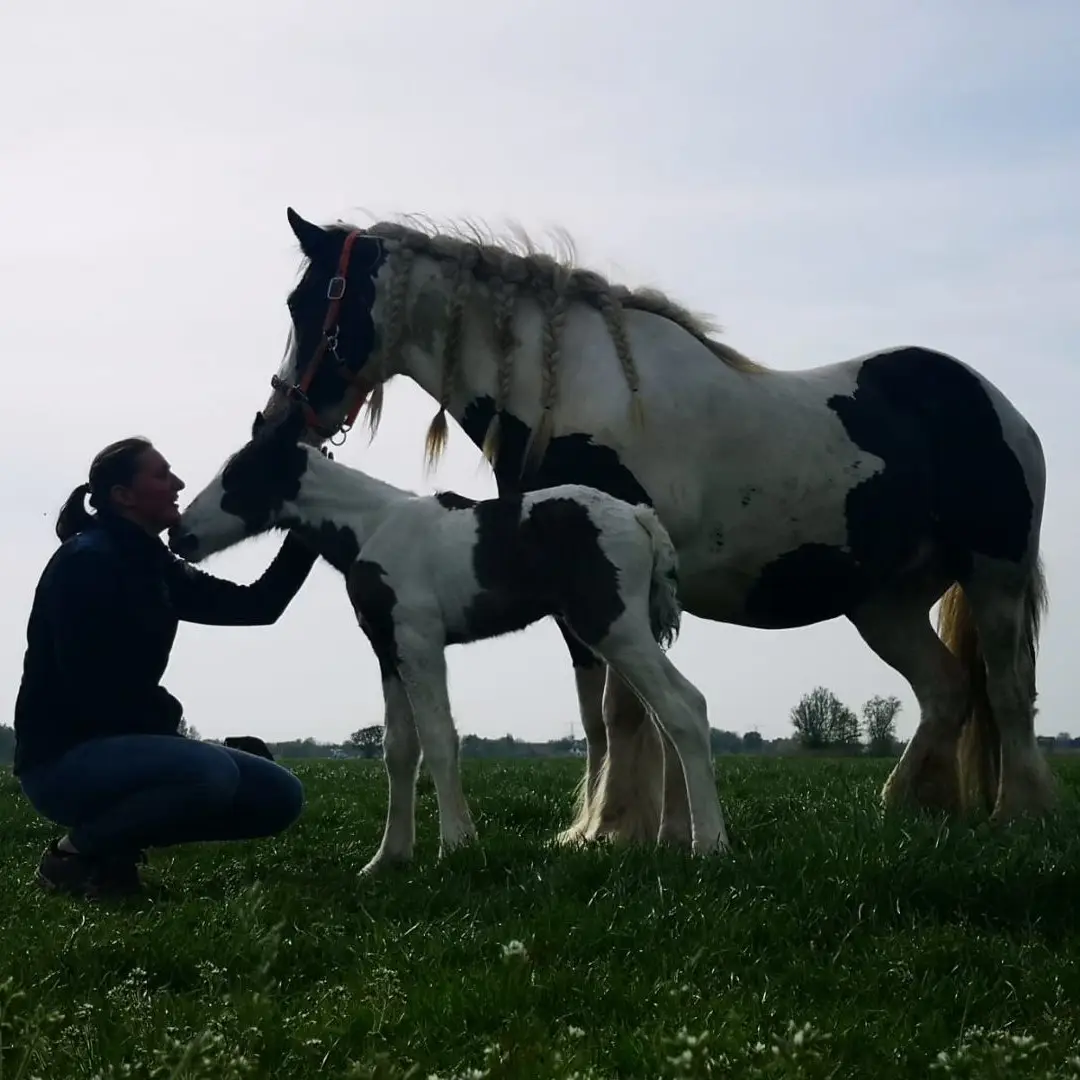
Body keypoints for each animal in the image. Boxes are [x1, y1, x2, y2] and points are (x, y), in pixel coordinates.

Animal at [168, 403, 731, 871]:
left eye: (238, 476)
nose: (179, 535)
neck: (373, 528)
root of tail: (638, 516)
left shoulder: (419, 642)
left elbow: (439, 739)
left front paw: (456, 846)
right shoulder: (388, 650)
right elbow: (398, 751)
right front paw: (387, 859)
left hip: (613, 628)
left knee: (685, 707)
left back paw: (710, 844)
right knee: (669, 715)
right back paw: (676, 837)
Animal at [253, 206, 1054, 843]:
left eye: (305, 300)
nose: (280, 419)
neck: (578, 394)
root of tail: (998, 404)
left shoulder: (603, 591)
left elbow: (626, 712)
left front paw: (613, 828)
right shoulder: (584, 597)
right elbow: (609, 716)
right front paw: (653, 828)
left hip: (995, 576)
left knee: (1008, 689)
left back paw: (1017, 815)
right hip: (883, 604)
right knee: (947, 689)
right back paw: (907, 808)